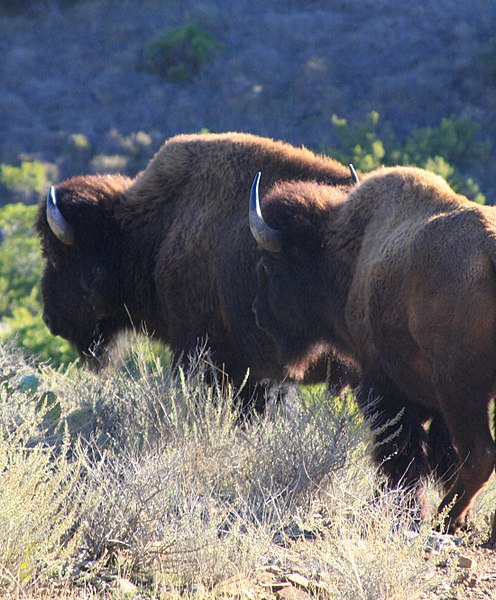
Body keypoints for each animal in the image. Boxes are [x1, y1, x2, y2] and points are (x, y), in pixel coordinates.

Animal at [250, 168, 496, 536]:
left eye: (267, 265)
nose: (257, 312)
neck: (350, 253)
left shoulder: (381, 387)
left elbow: (401, 454)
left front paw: (407, 511)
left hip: (459, 388)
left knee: (479, 454)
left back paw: (444, 518)